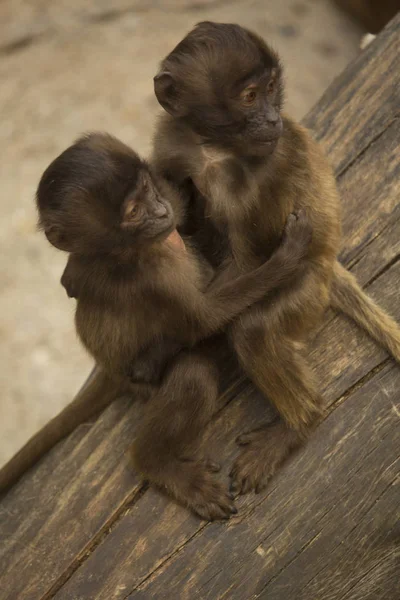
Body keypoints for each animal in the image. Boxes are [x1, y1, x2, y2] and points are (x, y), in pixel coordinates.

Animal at [9, 132, 310, 520]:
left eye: (148, 190)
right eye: (134, 213)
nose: (162, 212)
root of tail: (108, 368)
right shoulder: (155, 278)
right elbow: (203, 319)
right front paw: (286, 255)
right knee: (193, 375)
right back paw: (157, 463)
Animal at [151, 21, 400, 494]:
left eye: (270, 88)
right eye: (250, 96)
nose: (272, 119)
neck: (216, 149)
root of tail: (328, 259)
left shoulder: (271, 167)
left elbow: (251, 263)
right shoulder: (172, 143)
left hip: (310, 288)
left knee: (253, 328)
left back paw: (297, 425)